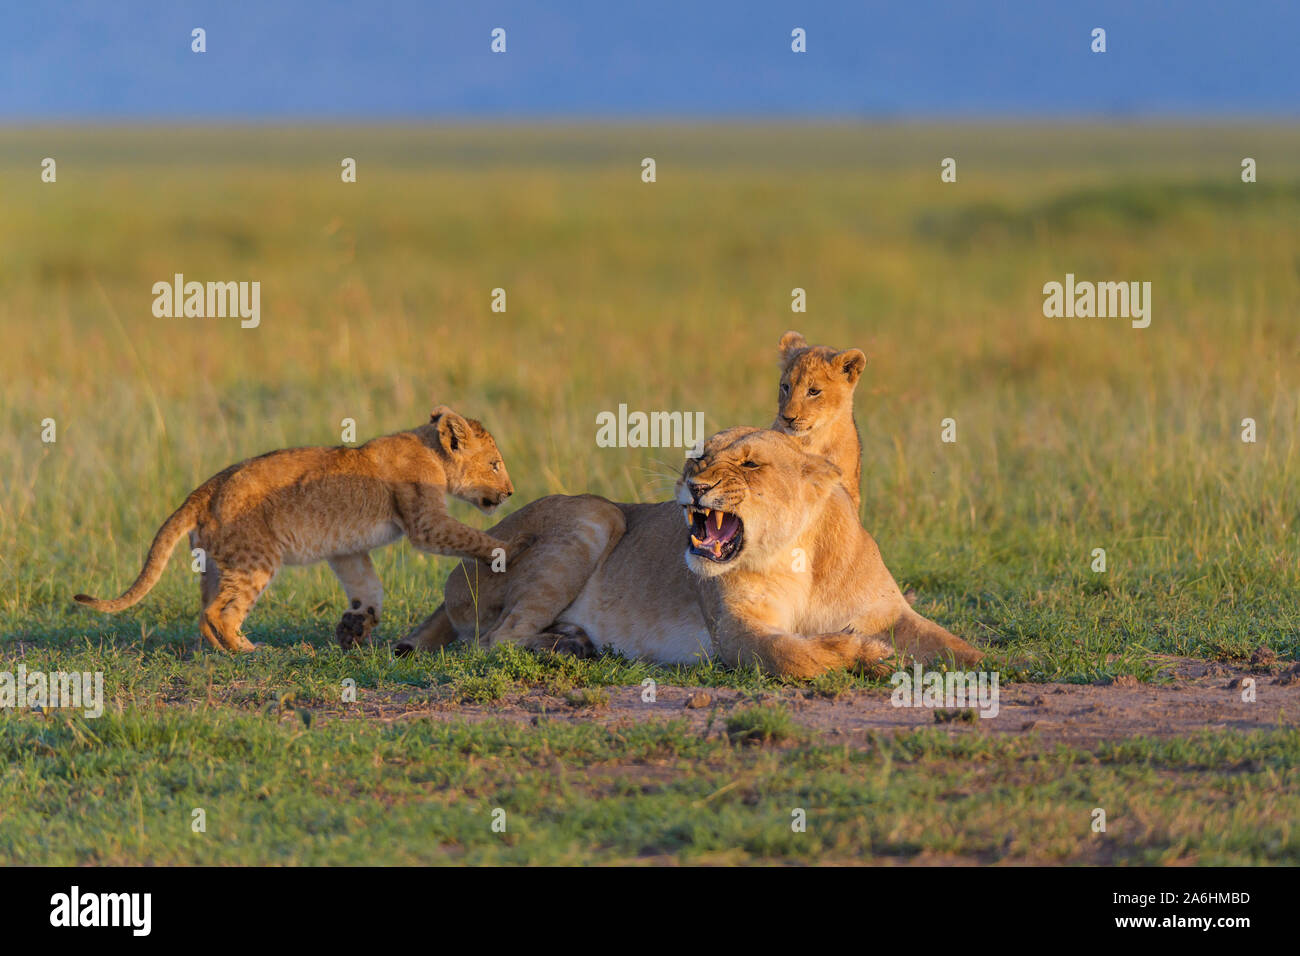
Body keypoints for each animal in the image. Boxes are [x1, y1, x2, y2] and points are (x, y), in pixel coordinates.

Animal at [74, 405, 532, 652]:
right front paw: (514, 546)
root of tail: (203, 491)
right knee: (221, 611)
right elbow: (473, 537)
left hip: (216, 562)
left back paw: (223, 649)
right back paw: (248, 650)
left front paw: (357, 628)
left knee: (204, 611)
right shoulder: (426, 523)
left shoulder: (347, 549)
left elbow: (368, 588)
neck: (431, 451)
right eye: (495, 464)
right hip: (256, 558)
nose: (511, 492)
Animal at [397, 428, 980, 678]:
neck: (799, 554)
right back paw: (570, 648)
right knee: (493, 642)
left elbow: (958, 646)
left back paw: (574, 641)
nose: (694, 485)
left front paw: (987, 667)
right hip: (595, 515)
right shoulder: (735, 633)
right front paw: (869, 656)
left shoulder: (890, 611)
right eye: (696, 455)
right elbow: (796, 655)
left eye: (749, 464)